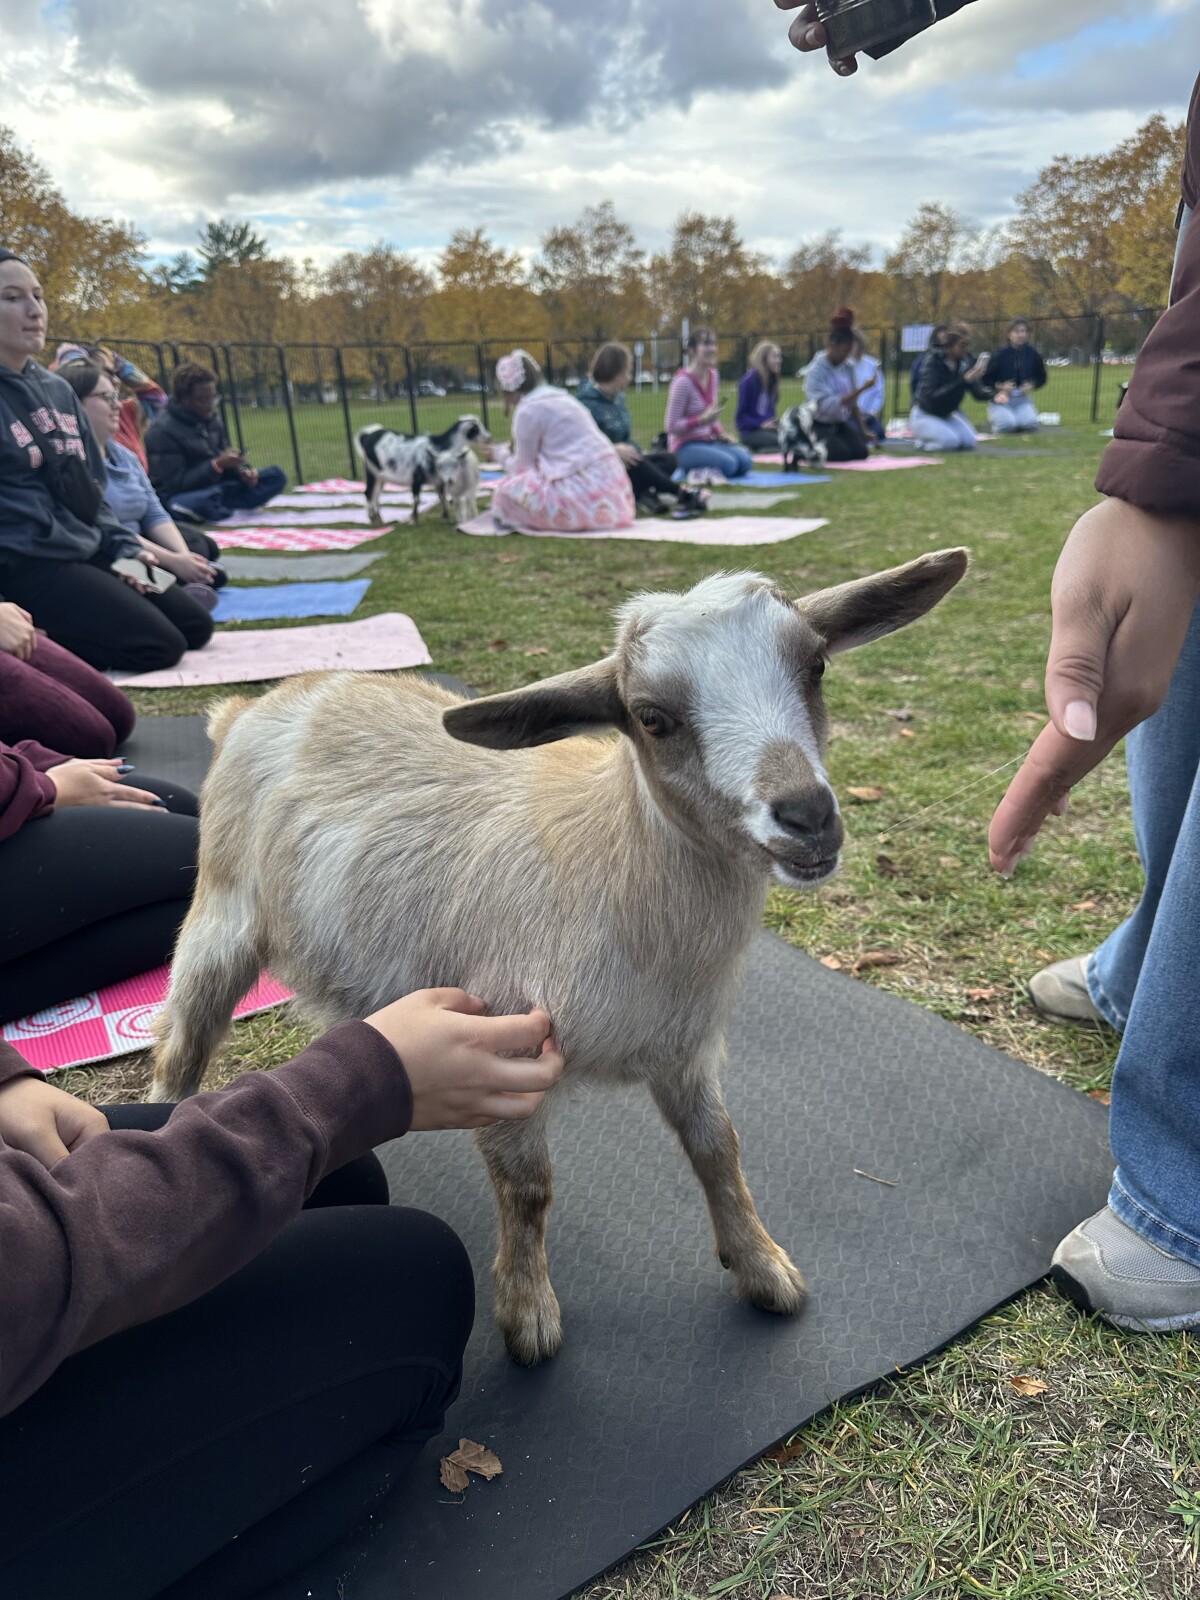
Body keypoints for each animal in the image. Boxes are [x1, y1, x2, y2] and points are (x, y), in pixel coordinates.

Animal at [152, 551, 968, 1365]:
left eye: (816, 664)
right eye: (651, 717)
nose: (807, 816)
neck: (618, 874)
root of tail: (258, 705)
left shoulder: (685, 1046)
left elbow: (719, 1148)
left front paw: (762, 1266)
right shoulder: (503, 1038)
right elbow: (530, 1186)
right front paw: (527, 1315)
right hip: (220, 912)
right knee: (183, 1040)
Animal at [354, 414, 490, 526]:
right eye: (476, 429)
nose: (489, 438)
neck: (438, 445)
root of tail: (366, 435)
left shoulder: (439, 480)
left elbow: (442, 497)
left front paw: (447, 517)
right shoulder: (416, 477)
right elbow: (417, 499)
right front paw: (413, 520)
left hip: (381, 476)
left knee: (376, 495)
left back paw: (379, 519)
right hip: (372, 471)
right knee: (368, 493)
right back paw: (372, 519)